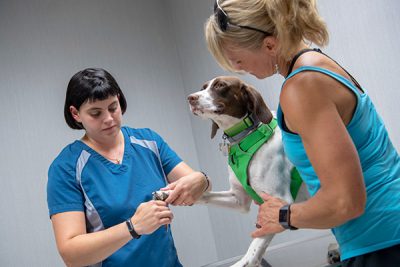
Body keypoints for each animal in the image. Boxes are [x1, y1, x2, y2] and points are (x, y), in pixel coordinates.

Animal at [189, 75, 308, 267]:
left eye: (220, 85)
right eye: (203, 87)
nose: (190, 98)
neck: (247, 137)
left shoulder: (279, 202)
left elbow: (251, 254)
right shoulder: (239, 200)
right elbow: (206, 195)